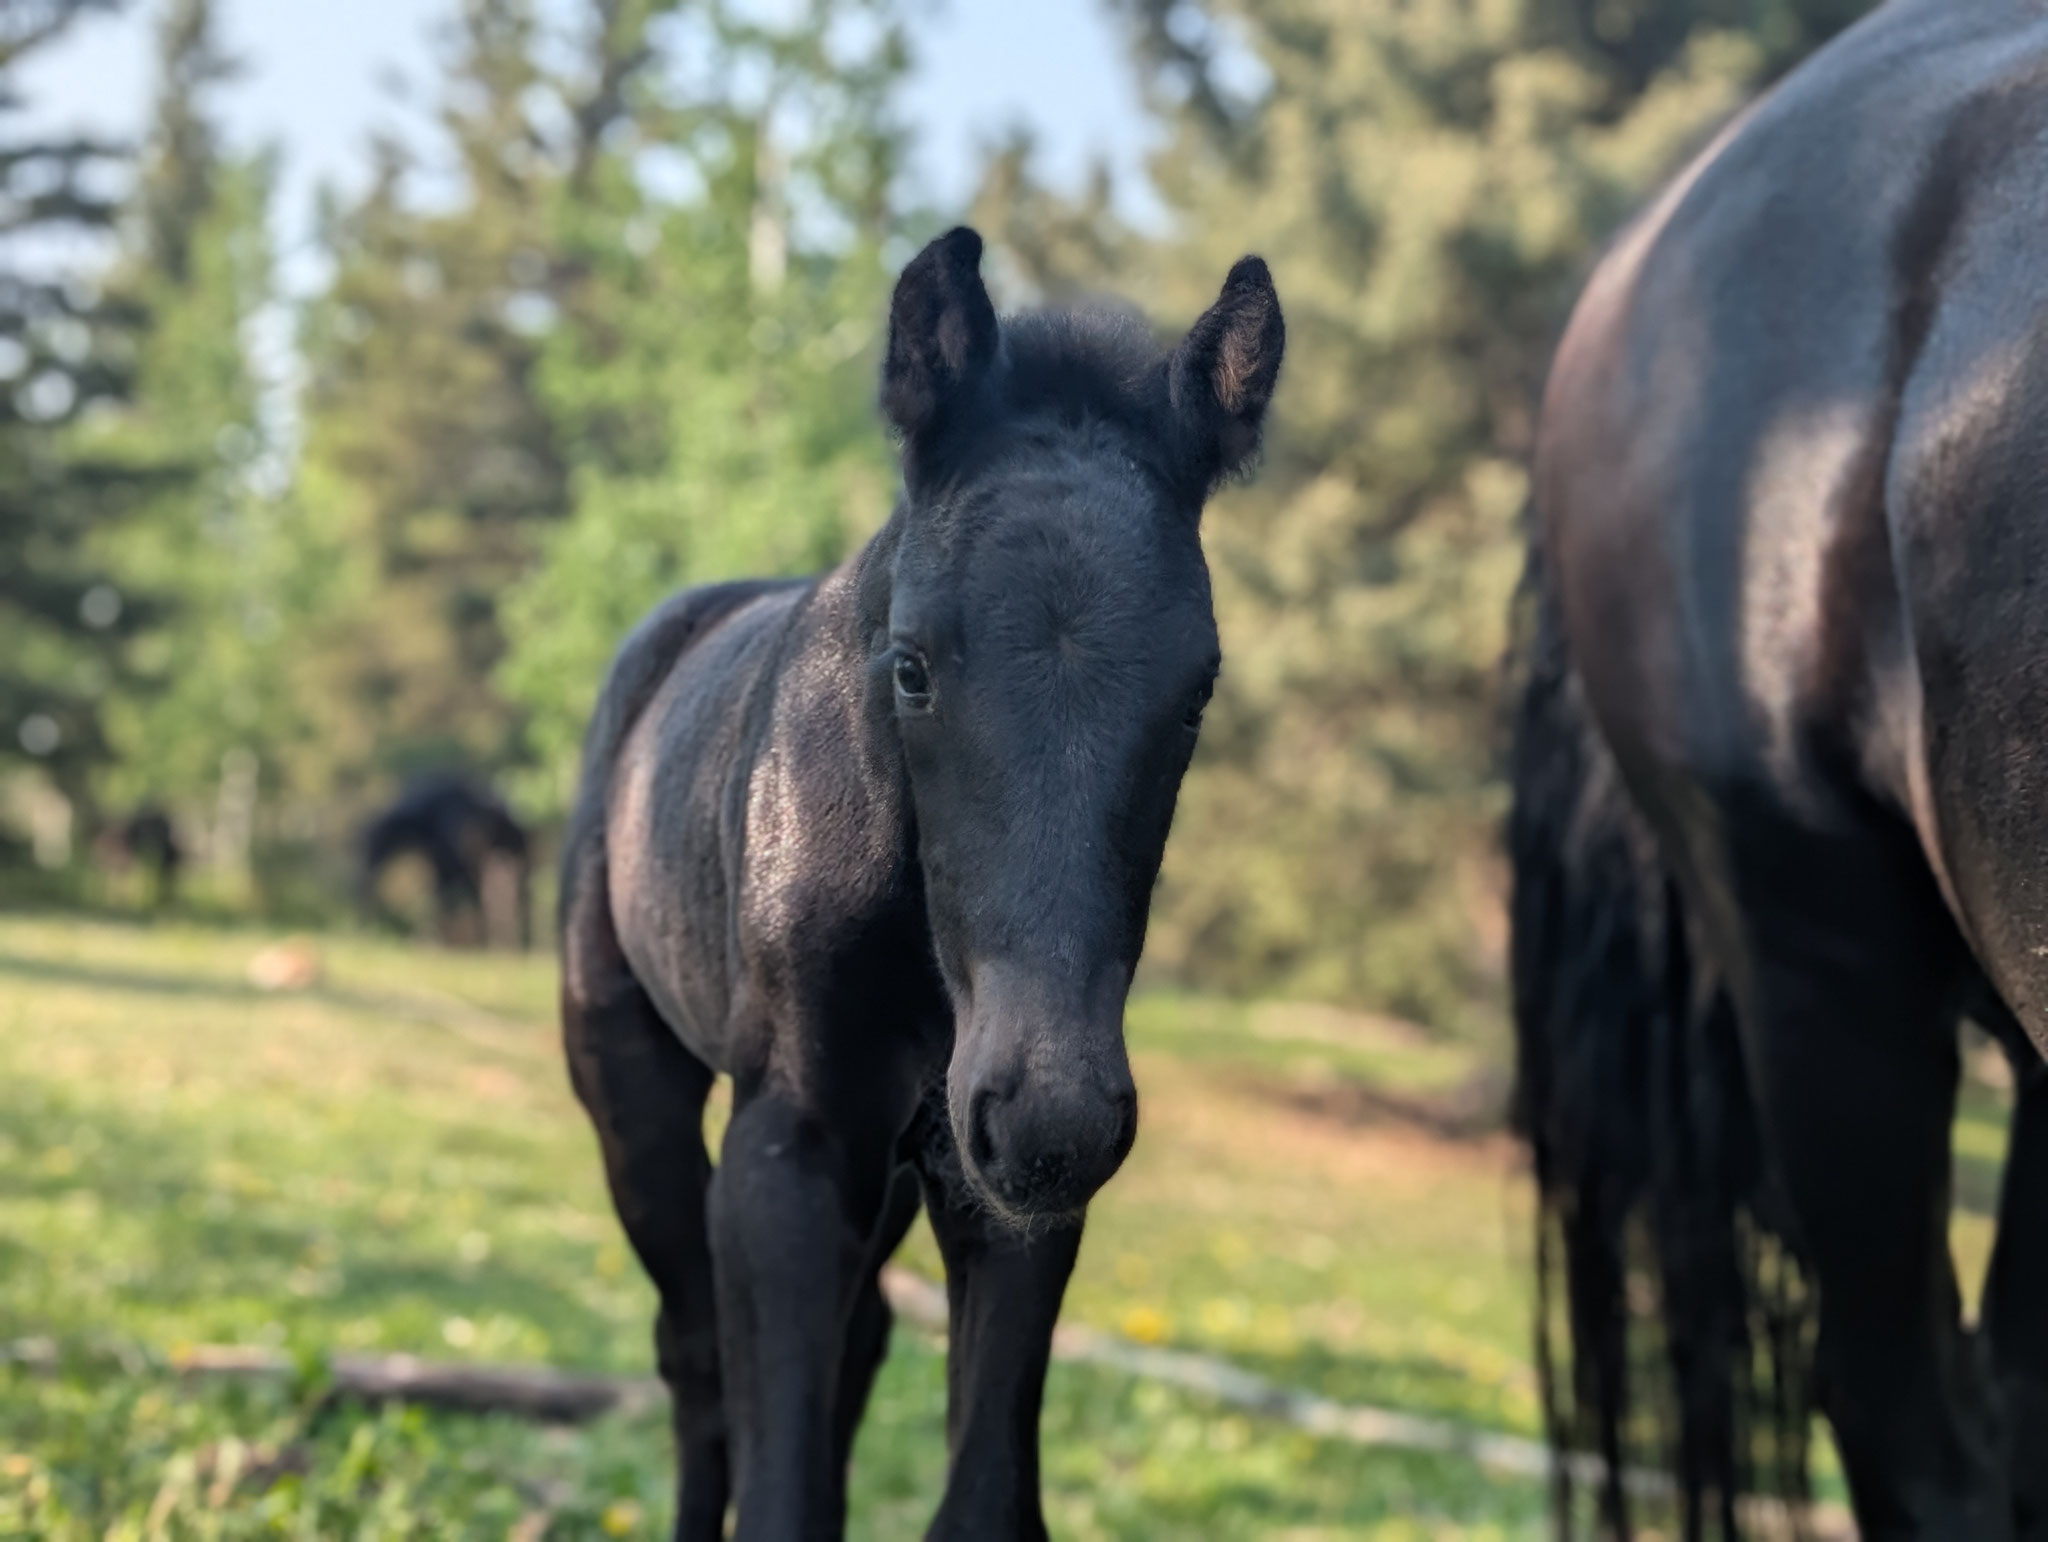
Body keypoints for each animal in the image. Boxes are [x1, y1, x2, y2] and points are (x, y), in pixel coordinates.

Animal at [558, 226, 1282, 1540]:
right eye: (910, 668)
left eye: (1197, 693)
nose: (1048, 1117)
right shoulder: (790, 1145)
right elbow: (778, 1485)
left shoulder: (992, 1183)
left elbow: (984, 1498)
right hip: (628, 1077)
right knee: (691, 1355)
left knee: (850, 1348)